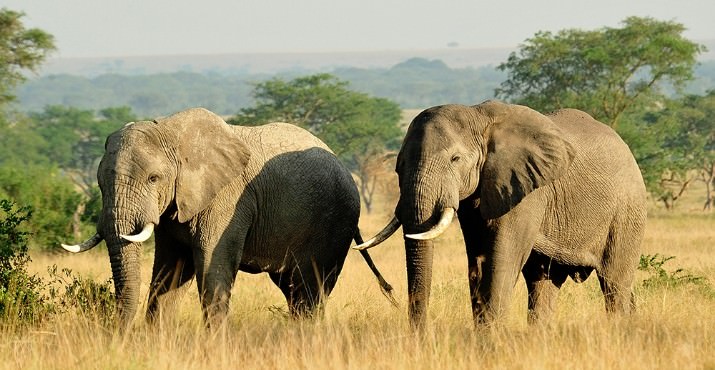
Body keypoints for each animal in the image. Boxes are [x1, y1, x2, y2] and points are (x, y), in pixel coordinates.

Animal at [63, 107, 392, 330]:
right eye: (100, 183)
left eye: (154, 178)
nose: (121, 335)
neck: (171, 130)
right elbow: (168, 271)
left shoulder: (229, 199)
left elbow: (212, 266)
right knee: (293, 289)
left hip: (335, 220)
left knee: (310, 289)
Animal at [358, 100, 648, 330]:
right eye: (399, 166)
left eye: (455, 159)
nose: (420, 338)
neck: (478, 116)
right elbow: (478, 260)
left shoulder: (526, 190)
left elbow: (502, 259)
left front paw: (491, 342)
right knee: (543, 283)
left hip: (627, 211)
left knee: (614, 282)